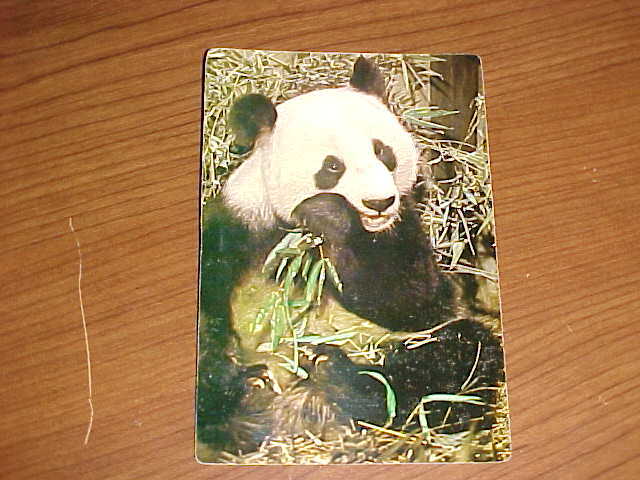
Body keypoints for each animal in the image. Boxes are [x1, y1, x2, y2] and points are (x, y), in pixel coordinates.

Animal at [197, 56, 504, 461]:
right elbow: (209, 315)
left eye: (383, 152)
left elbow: (416, 300)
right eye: (332, 166)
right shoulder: (238, 225)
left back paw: (340, 378)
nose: (378, 203)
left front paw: (329, 216)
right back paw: (250, 403)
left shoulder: (402, 229)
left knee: (455, 358)